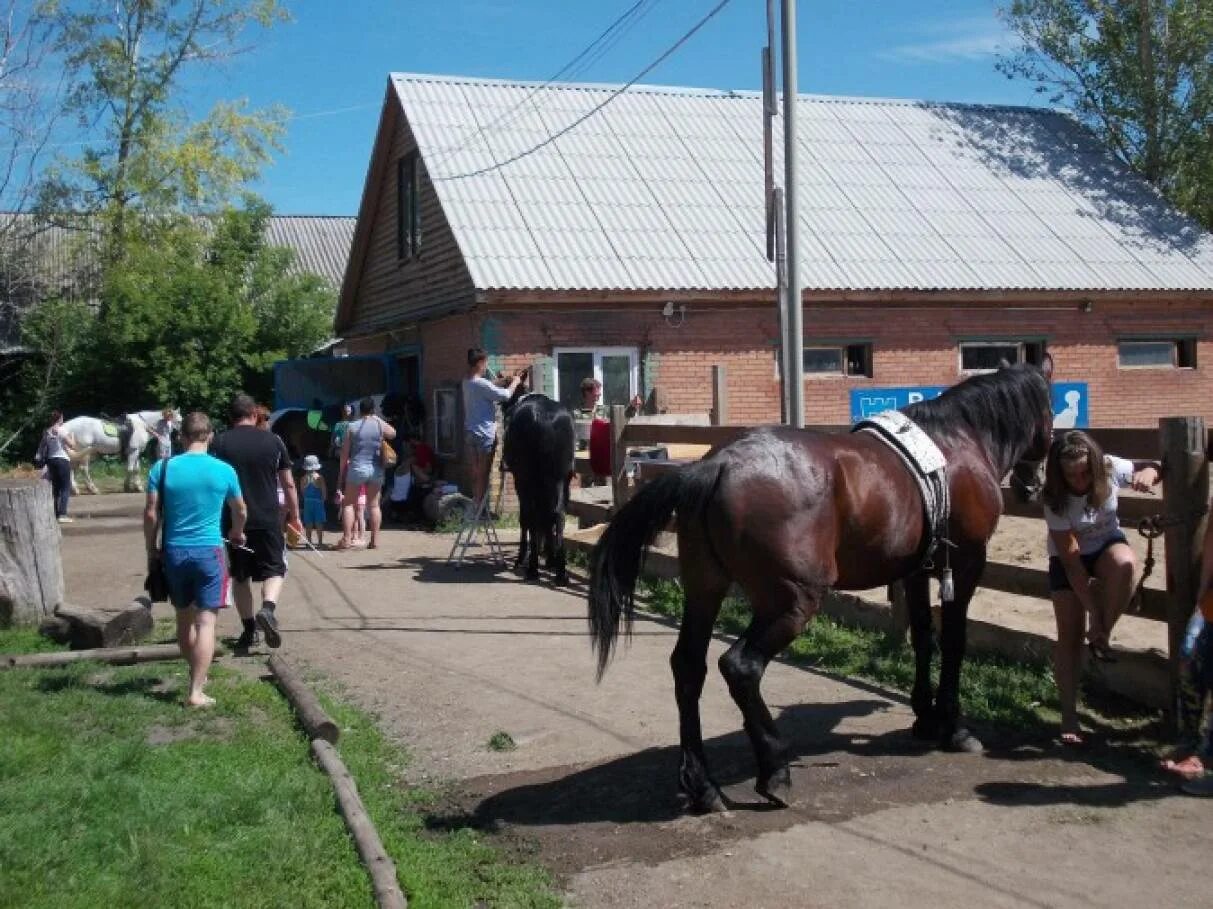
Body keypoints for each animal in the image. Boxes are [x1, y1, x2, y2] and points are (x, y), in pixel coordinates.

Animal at [502, 385, 577, 584]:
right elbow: (547, 519)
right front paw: (551, 559)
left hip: (527, 478)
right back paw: (561, 572)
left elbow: (526, 520)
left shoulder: (521, 482)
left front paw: (521, 558)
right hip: (560, 478)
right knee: (557, 514)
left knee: (531, 515)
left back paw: (532, 568)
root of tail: (546, 417)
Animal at [587, 359, 1052, 810]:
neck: (958, 443)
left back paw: (704, 786)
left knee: (688, 667)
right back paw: (774, 770)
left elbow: (923, 637)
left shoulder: (917, 570)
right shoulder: (967, 564)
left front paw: (924, 716)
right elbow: (954, 641)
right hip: (793, 601)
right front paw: (954, 727)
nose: (1031, 485)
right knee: (740, 667)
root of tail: (714, 466)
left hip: (705, 589)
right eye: (1049, 412)